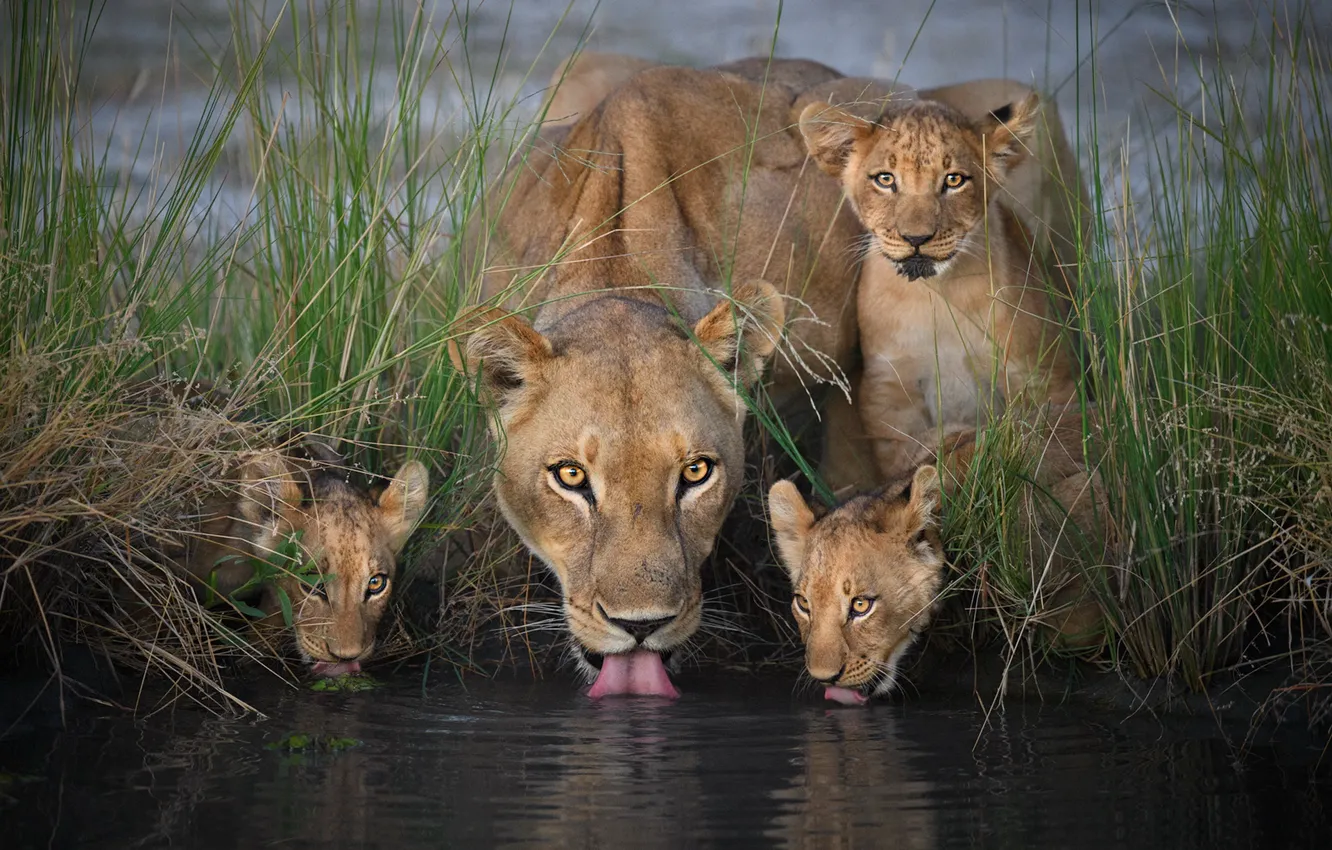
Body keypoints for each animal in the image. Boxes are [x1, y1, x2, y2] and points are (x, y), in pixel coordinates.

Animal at [799, 92, 1082, 483]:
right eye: (885, 179)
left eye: (954, 180)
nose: (916, 239)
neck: (937, 296)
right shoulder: (889, 387)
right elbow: (905, 454)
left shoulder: (1041, 375)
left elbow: (1048, 433)